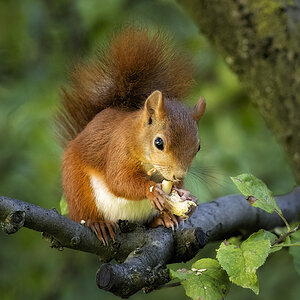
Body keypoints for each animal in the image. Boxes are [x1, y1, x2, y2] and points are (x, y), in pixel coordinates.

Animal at [57, 27, 205, 245]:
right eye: (158, 142)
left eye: (198, 147)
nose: (179, 176)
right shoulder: (119, 149)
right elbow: (119, 181)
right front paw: (152, 190)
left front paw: (185, 194)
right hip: (77, 189)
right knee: (84, 211)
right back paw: (98, 224)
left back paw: (164, 218)